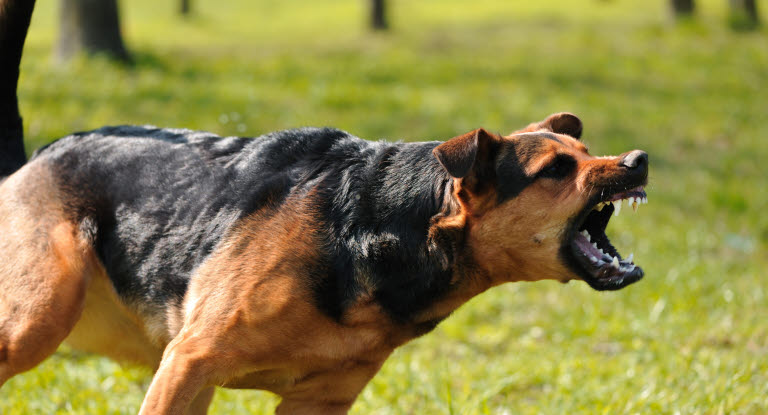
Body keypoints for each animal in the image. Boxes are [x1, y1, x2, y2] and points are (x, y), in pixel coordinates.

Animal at [0, 109, 648, 412]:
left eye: (587, 150)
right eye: (556, 170)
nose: (637, 160)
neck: (380, 228)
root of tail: (35, 156)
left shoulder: (317, 401)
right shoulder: (189, 363)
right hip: (38, 321)